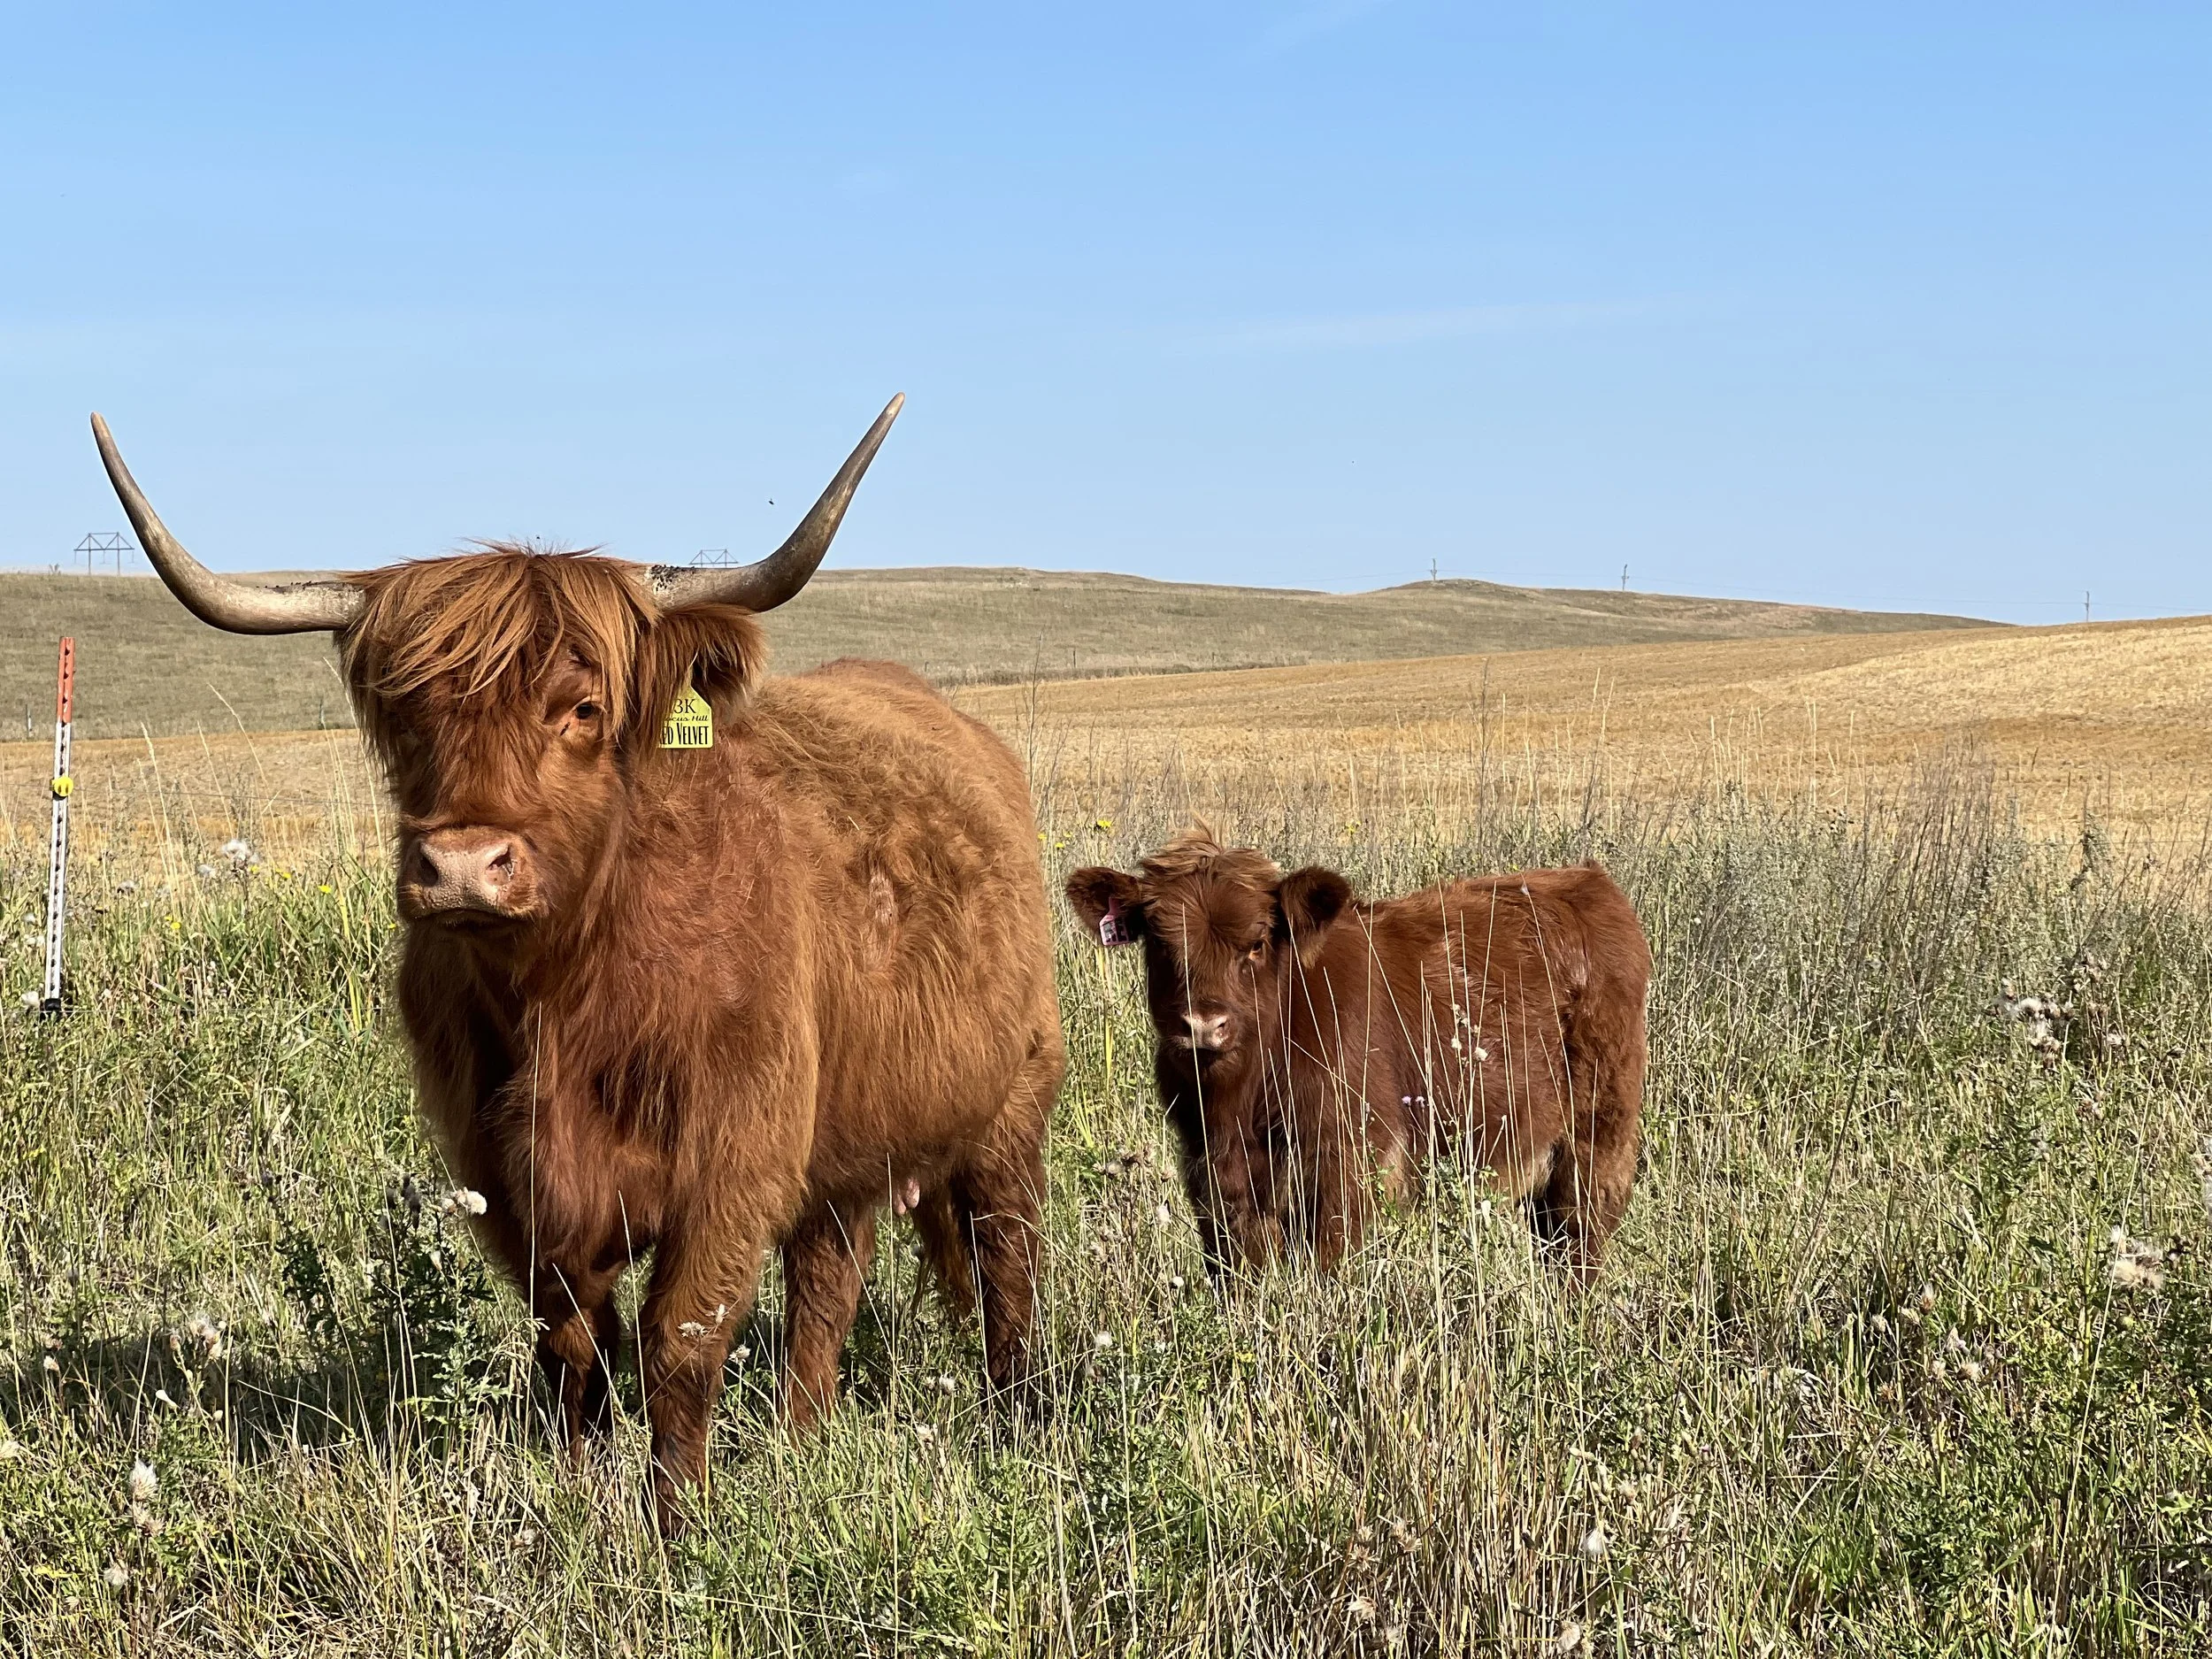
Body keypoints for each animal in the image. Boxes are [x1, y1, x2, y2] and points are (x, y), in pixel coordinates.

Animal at [91, 401, 1065, 1535]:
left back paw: (1017, 1416)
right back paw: (803, 1440)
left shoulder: (732, 1161)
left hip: (1009, 1104)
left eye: (583, 709)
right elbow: (572, 1350)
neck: (566, 993)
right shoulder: (509, 1182)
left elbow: (680, 1339)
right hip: (848, 1138)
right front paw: (585, 1500)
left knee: (1004, 1254)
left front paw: (677, 1525)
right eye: (407, 718)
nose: (464, 865)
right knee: (829, 1281)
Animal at [1066, 829, 1648, 1280]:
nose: (1203, 1025)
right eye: (1161, 944)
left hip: (1597, 1137)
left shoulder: (1350, 1163)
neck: (1241, 1100)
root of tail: (1585, 881)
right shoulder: (1211, 1172)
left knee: (1582, 1232)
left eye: (1256, 943)